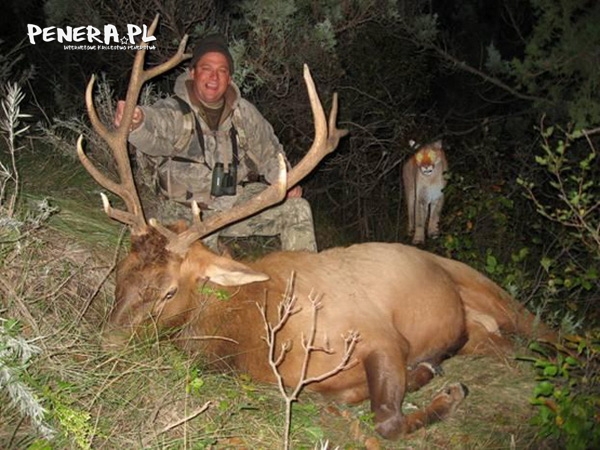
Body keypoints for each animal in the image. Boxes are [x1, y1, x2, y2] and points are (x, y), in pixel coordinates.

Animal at [77, 16, 556, 440]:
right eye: (120, 273)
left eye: (170, 290)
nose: (108, 342)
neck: (257, 336)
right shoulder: (326, 384)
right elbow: (360, 399)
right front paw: (427, 373)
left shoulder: (379, 335)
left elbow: (387, 421)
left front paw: (448, 394)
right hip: (481, 335)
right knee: (505, 346)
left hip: (489, 289)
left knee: (548, 332)